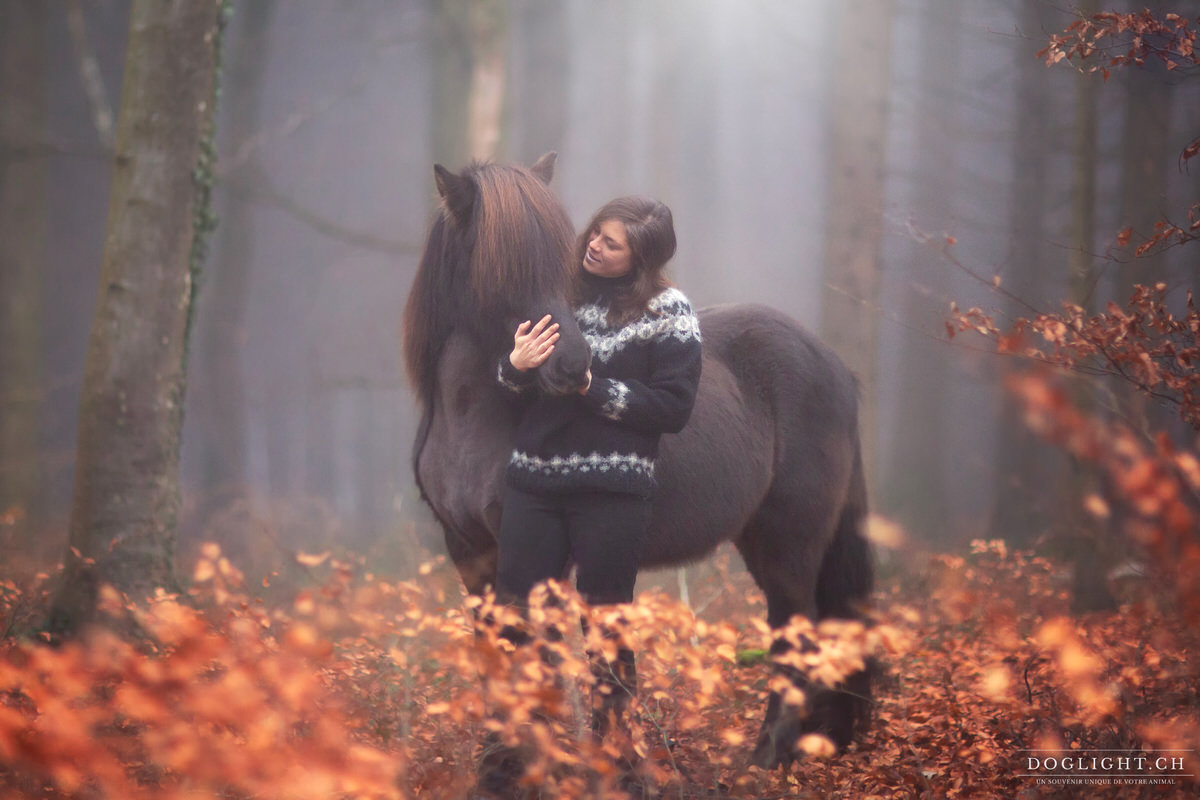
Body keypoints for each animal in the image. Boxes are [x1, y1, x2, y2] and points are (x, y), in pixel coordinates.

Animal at [403, 151, 873, 767]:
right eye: (499, 266)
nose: (573, 365)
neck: (472, 413)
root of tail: (835, 367)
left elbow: (543, 663)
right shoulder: (468, 551)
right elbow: (499, 660)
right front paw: (498, 760)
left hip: (789, 542)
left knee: (796, 636)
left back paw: (763, 763)